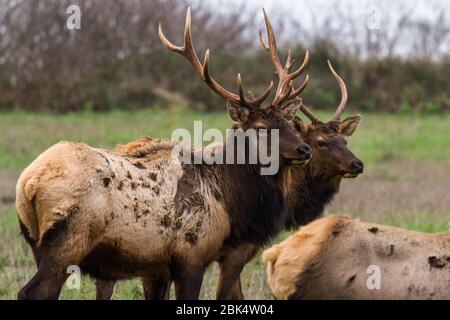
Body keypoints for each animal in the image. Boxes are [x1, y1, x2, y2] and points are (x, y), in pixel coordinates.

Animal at [14, 8, 310, 302]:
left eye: (287, 122)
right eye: (261, 128)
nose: (304, 149)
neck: (228, 201)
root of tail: (29, 183)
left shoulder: (157, 268)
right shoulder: (191, 254)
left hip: (36, 244)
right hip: (68, 242)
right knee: (32, 291)